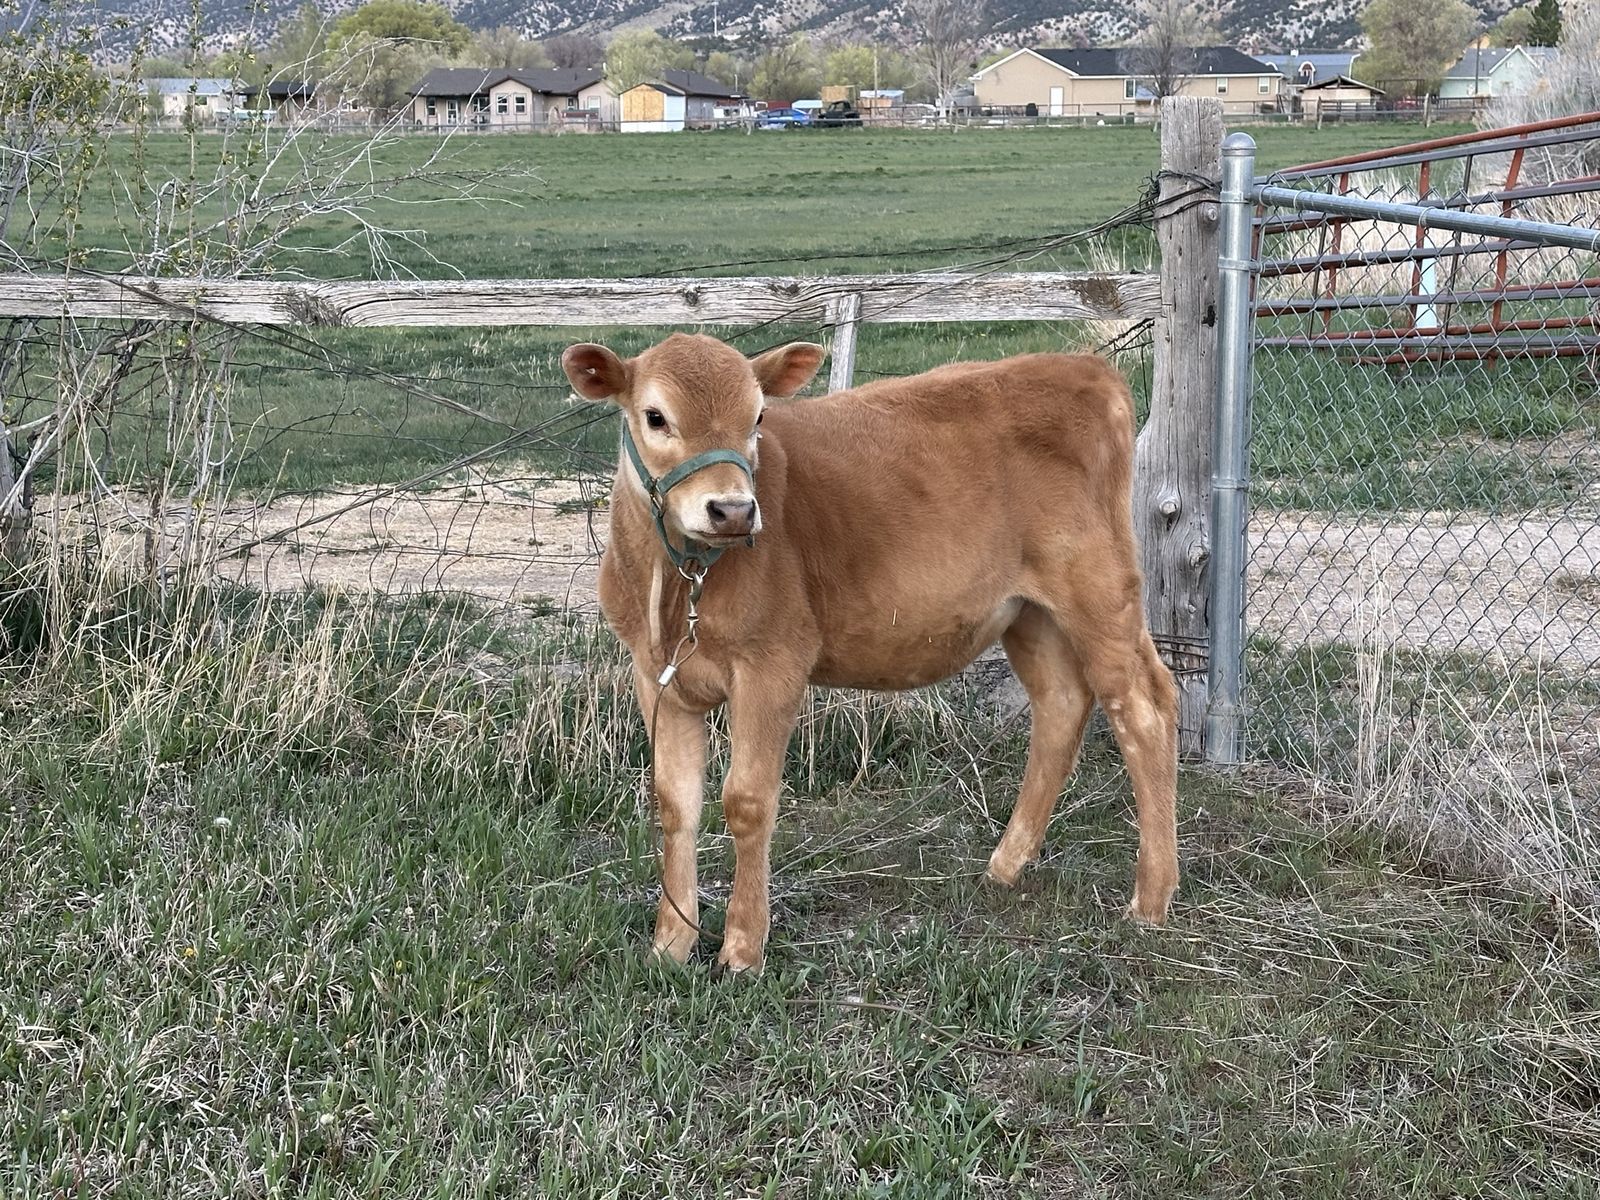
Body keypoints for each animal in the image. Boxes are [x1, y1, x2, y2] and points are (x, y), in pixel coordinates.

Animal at [562, 332, 1179, 973]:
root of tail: (1083, 367)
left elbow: (747, 800)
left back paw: (1150, 900)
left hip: (1099, 591)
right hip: (1031, 613)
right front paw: (670, 943)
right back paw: (1006, 864)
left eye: (757, 417)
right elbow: (675, 804)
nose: (732, 510)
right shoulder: (654, 674)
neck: (679, 585)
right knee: (1060, 705)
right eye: (655, 417)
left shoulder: (773, 664)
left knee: (1145, 709)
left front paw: (742, 946)